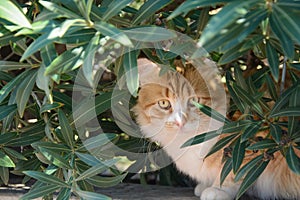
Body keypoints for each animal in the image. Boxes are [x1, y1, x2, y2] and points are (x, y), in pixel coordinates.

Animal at [133, 57, 300, 200]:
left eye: (194, 101)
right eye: (164, 104)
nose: (180, 122)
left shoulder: (248, 144)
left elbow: (232, 172)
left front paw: (218, 189)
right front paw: (205, 185)